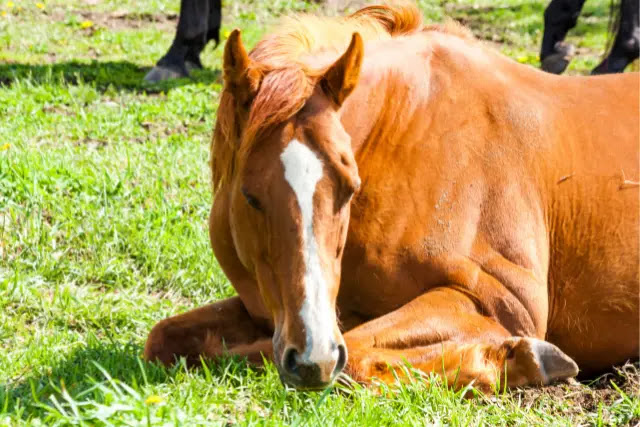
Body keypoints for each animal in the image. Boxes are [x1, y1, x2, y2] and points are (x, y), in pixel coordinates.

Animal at [144, 1, 640, 392]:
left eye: (349, 189)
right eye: (250, 196)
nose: (313, 358)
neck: (407, 133)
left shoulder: (503, 300)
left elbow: (355, 352)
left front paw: (523, 360)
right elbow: (164, 338)